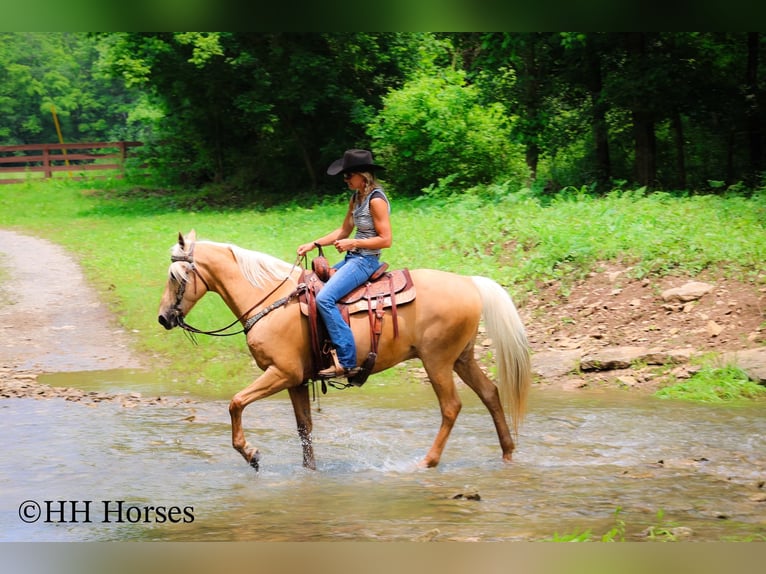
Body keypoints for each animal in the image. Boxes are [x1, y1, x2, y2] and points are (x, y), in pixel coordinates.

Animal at [157, 230, 532, 471]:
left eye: (176, 276)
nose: (163, 317)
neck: (269, 299)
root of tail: (470, 282)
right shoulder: (297, 381)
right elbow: (304, 429)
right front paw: (310, 473)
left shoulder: (282, 373)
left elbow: (235, 403)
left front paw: (251, 454)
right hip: (461, 358)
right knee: (490, 394)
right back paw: (508, 454)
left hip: (437, 360)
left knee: (452, 407)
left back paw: (428, 461)